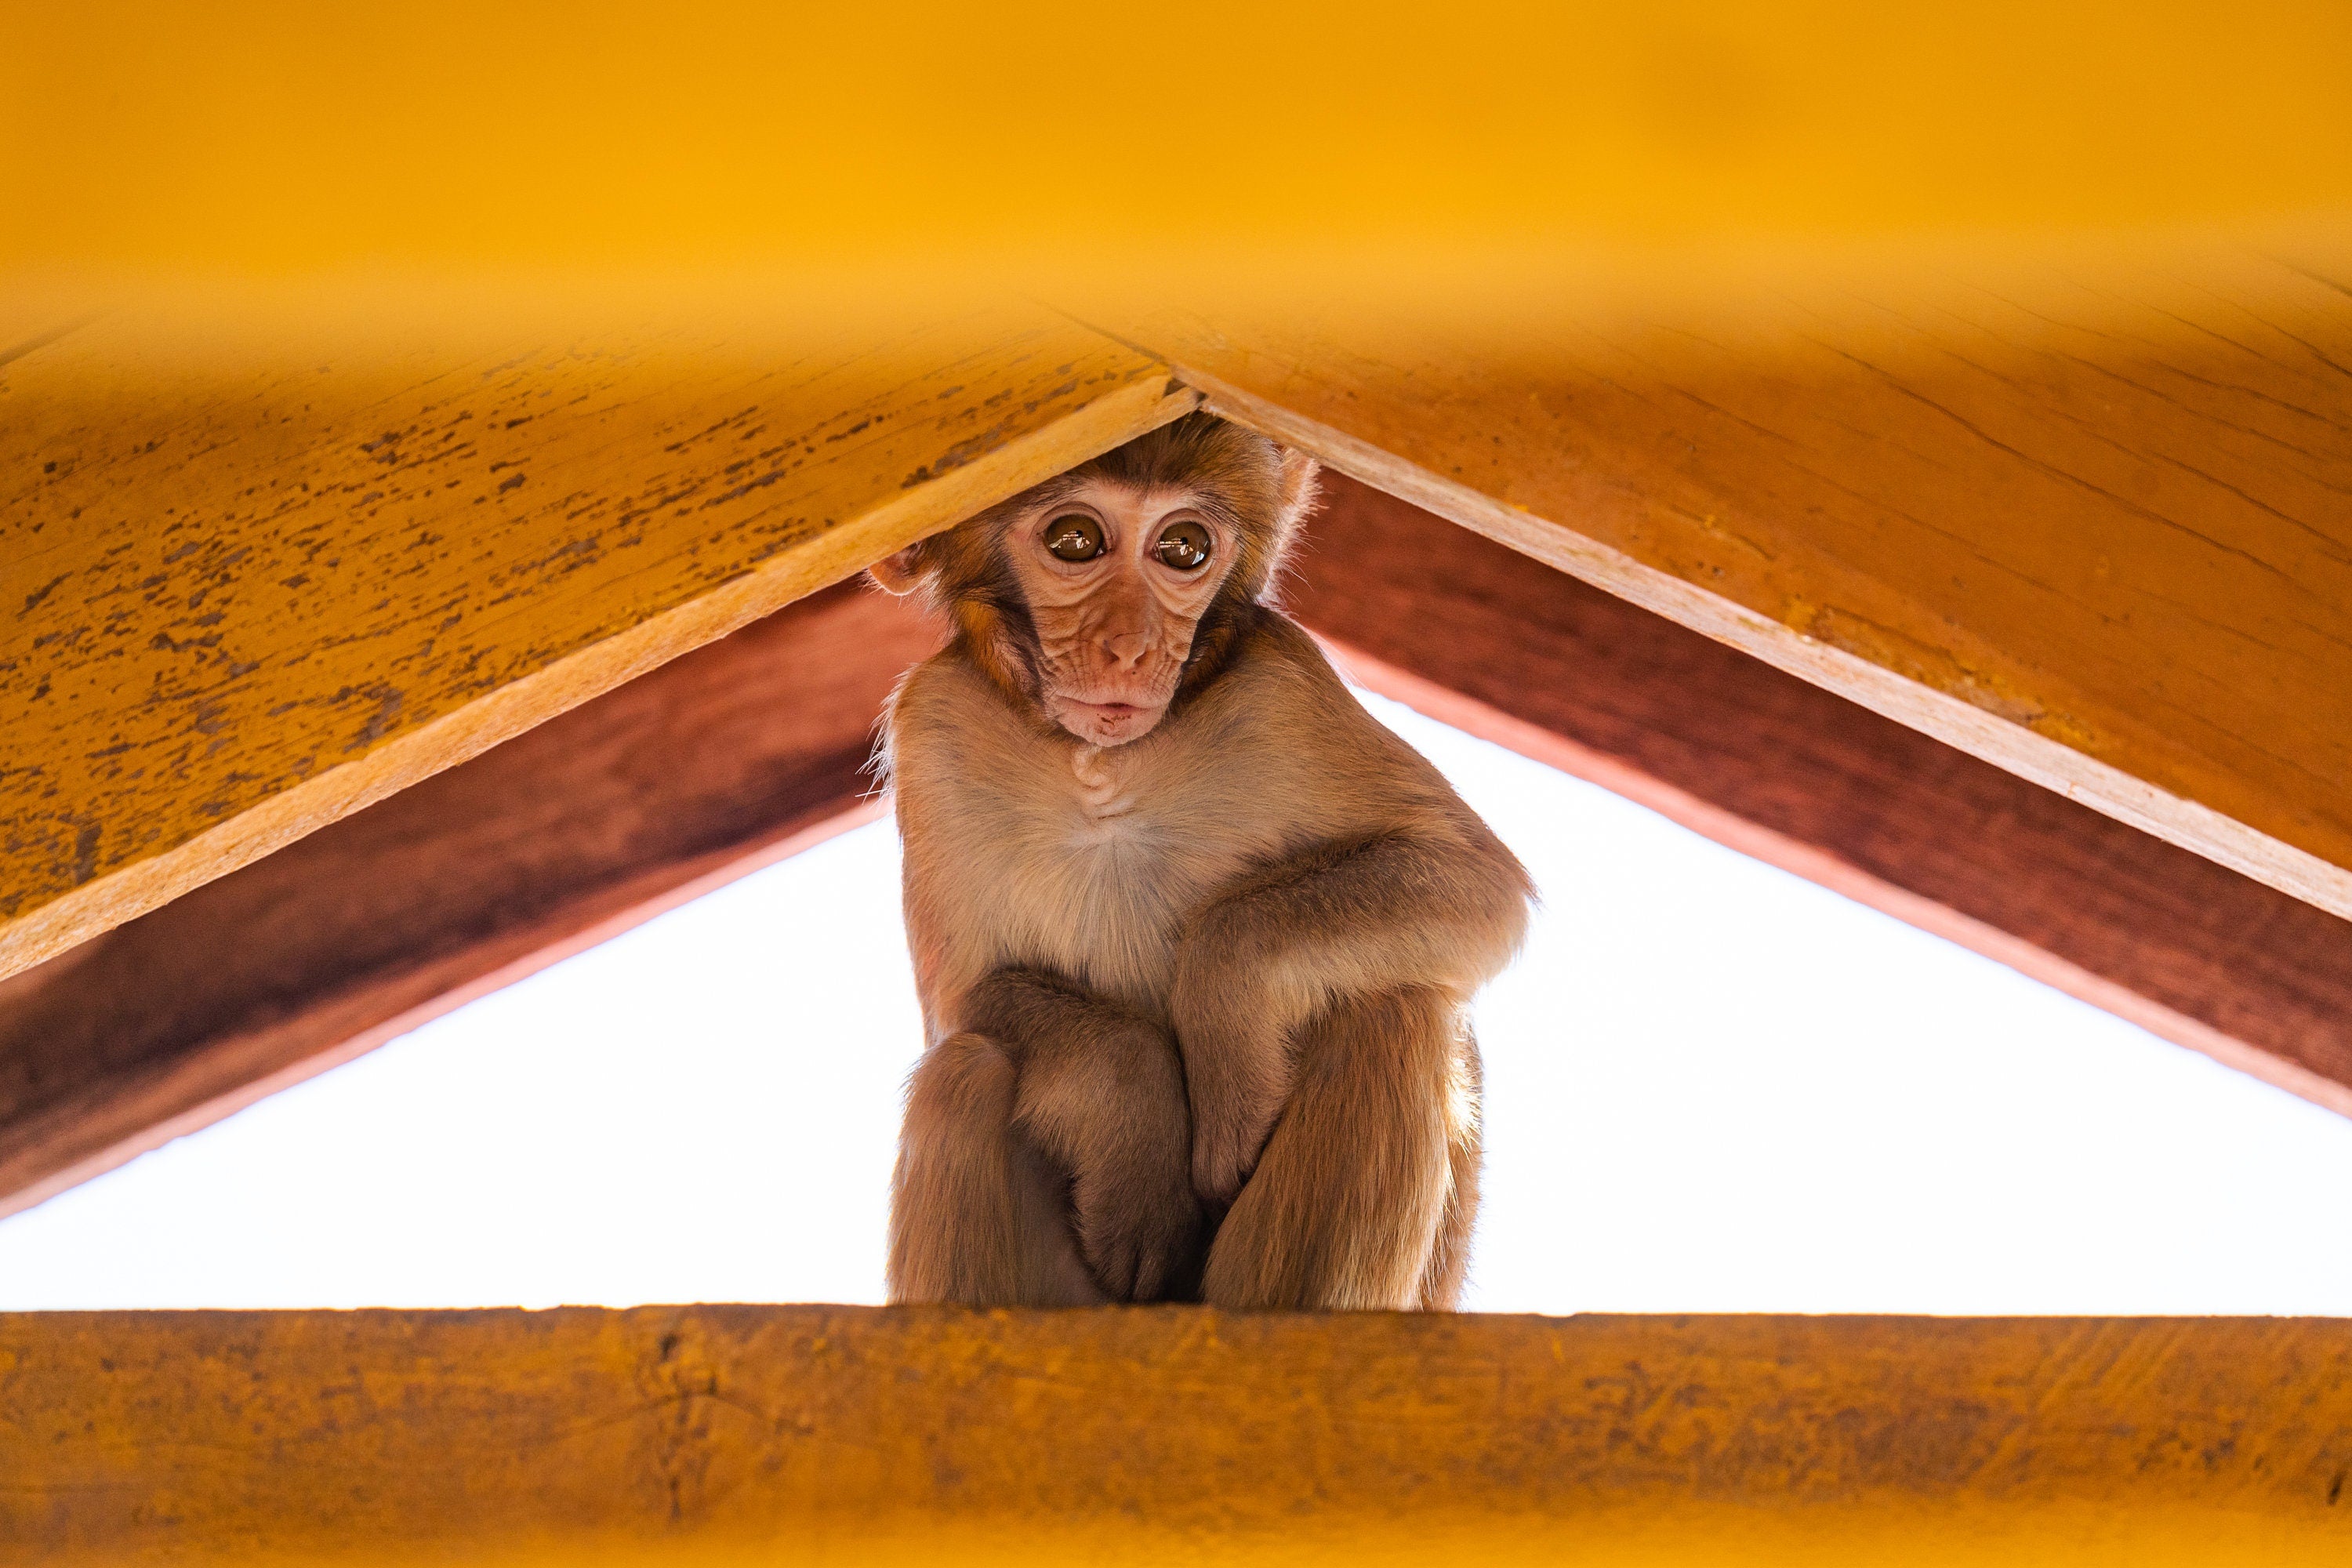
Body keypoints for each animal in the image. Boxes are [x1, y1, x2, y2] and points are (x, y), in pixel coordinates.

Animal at [875, 413, 1534, 1316]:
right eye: (1074, 540)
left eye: (1183, 549)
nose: (1129, 648)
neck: (1102, 764)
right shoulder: (934, 724)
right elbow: (963, 998)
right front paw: (1132, 1121)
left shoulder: (1285, 687)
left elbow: (1476, 882)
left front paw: (1229, 1042)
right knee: (966, 1068)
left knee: (1393, 1011)